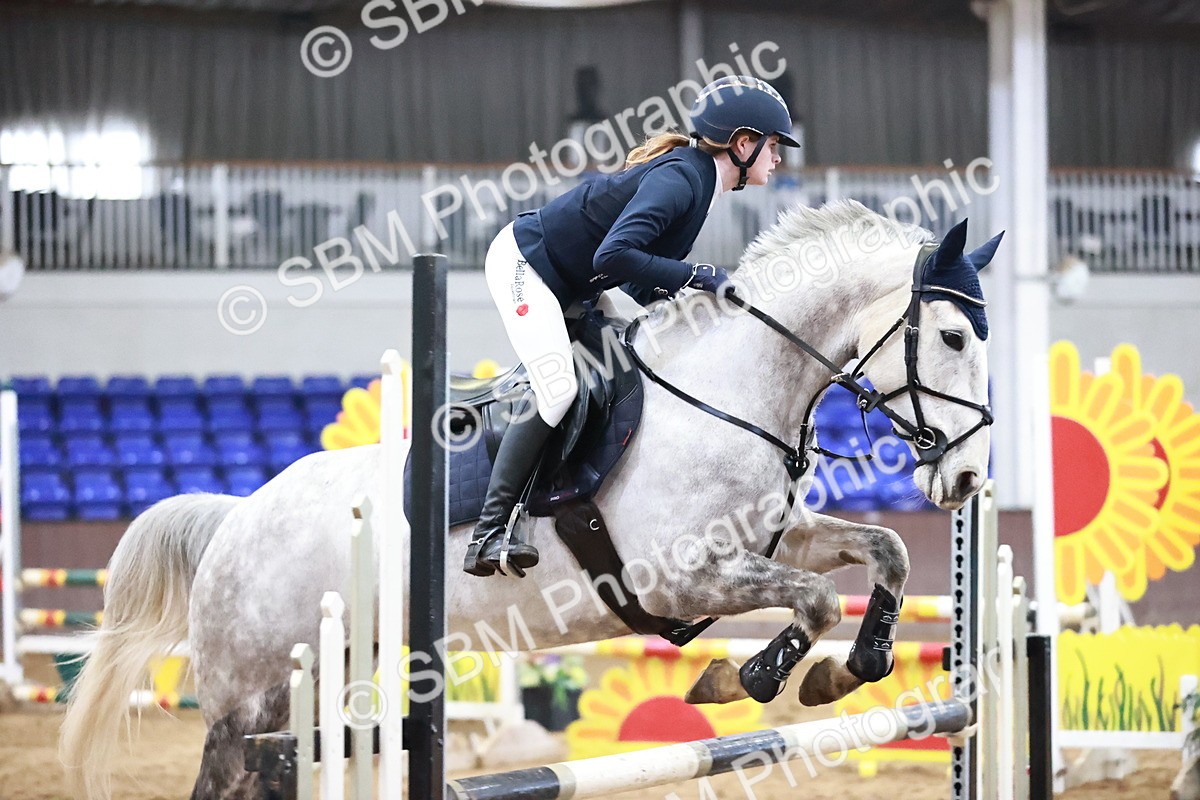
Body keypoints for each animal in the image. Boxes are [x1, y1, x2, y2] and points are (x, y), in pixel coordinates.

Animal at [60, 200, 999, 799]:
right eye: (954, 337)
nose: (965, 481)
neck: (731, 389)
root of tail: (236, 517)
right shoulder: (680, 578)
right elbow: (811, 601)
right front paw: (750, 675)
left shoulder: (774, 536)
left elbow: (885, 552)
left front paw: (853, 666)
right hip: (247, 700)